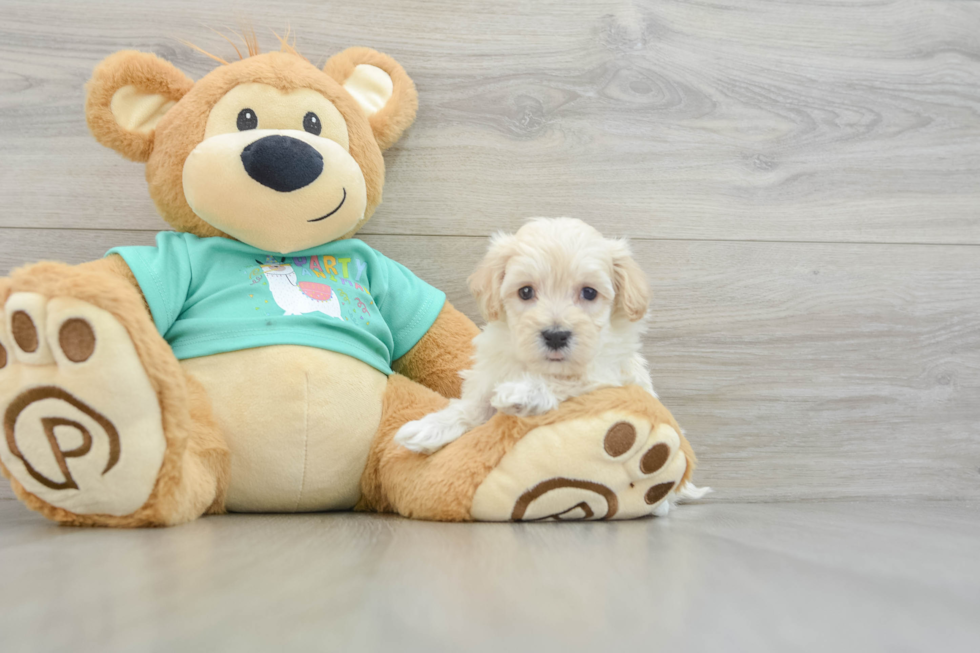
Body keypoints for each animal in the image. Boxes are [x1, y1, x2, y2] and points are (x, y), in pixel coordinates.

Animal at [394, 219, 656, 454]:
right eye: (526, 291)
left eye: (589, 293)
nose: (556, 336)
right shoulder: (491, 371)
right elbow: (474, 404)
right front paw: (430, 427)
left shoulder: (612, 376)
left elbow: (571, 381)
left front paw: (523, 392)